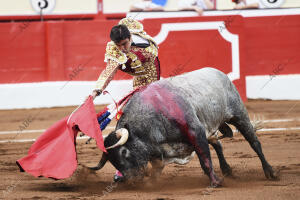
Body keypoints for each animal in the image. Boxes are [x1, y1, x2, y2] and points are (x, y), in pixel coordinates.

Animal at [91, 68, 276, 187]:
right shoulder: (159, 151)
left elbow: (205, 160)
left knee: (254, 142)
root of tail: (220, 73)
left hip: (238, 114)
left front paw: (215, 182)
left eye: (124, 152)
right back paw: (227, 170)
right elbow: (156, 169)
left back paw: (270, 172)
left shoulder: (196, 132)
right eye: (112, 161)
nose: (127, 180)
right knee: (218, 145)